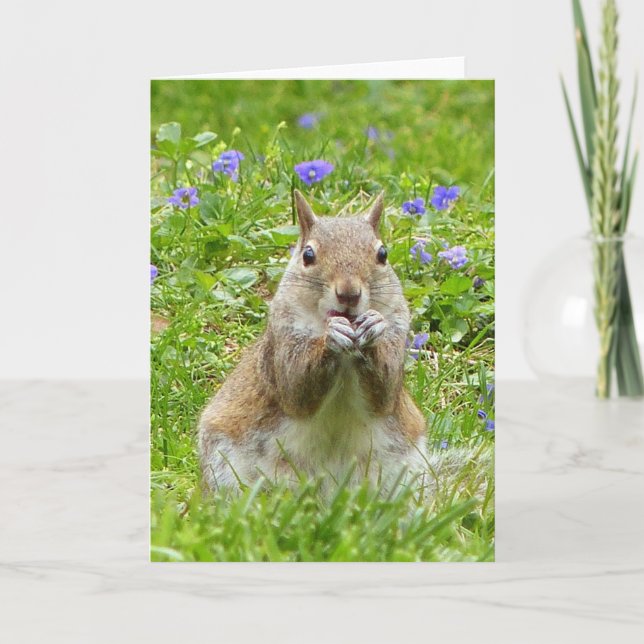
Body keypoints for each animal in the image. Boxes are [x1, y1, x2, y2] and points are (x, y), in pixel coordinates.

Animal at [198, 191, 430, 493]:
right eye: (308, 255)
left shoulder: (398, 329)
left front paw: (372, 326)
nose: (349, 293)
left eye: (383, 254)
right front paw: (331, 337)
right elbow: (296, 388)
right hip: (224, 461)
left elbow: (385, 394)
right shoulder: (282, 338)